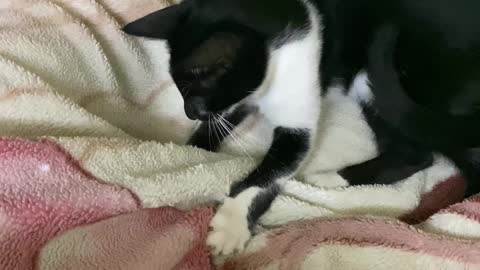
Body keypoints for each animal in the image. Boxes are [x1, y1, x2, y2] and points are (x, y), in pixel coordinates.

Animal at [123, 0, 480, 255]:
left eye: (194, 94)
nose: (189, 112)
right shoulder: (243, 97)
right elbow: (219, 126)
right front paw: (189, 151)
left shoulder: (298, 115)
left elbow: (272, 169)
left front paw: (233, 222)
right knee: (422, 154)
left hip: (385, 82)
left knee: (429, 152)